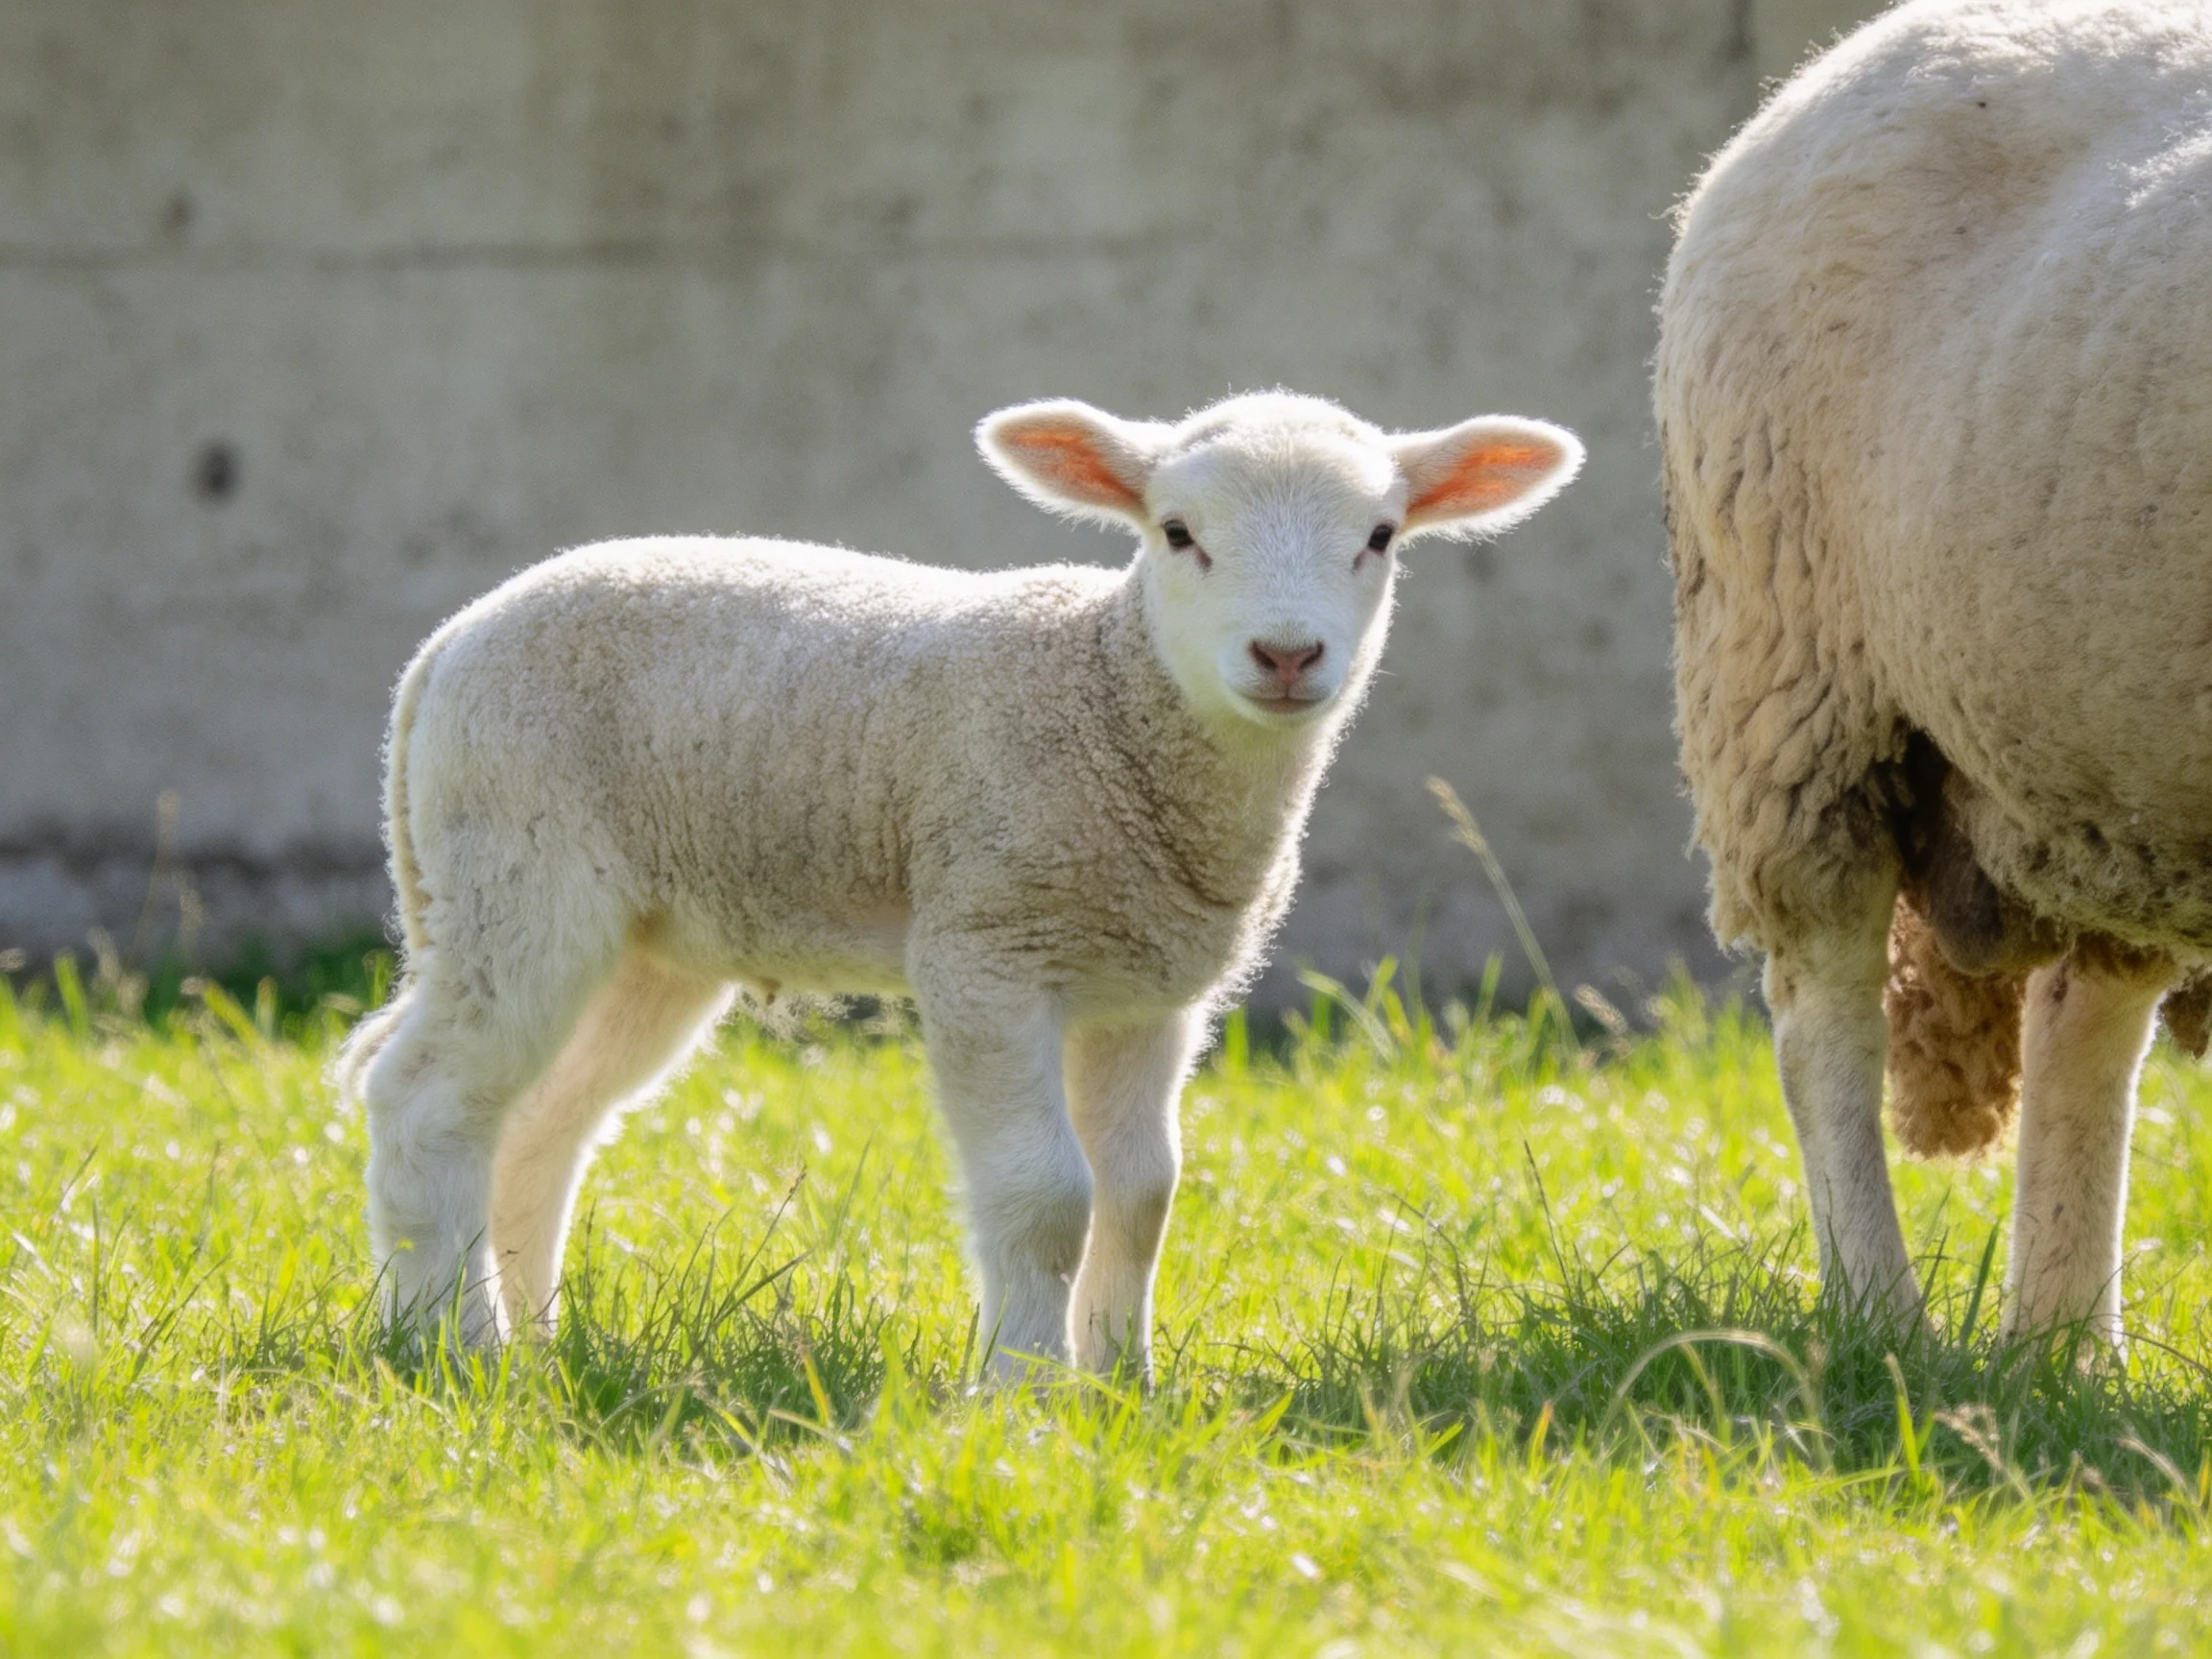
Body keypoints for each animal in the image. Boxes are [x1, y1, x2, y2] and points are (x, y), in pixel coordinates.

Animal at [334, 390, 1582, 1377]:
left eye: (1380, 536)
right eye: (1177, 533)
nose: (1286, 656)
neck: (1109, 694)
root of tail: (444, 647)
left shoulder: (1148, 988)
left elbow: (1141, 1195)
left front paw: (1121, 1385)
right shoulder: (987, 945)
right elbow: (1047, 1196)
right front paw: (1024, 1390)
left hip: (645, 938)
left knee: (541, 1122)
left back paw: (532, 1342)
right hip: (517, 868)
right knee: (429, 1099)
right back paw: (450, 1348)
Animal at [1656, 0, 2212, 1342]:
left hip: (2094, 749)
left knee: (2080, 1027)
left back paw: (2067, 1355)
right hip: (1797, 692)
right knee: (1824, 1024)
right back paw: (1887, 1326)